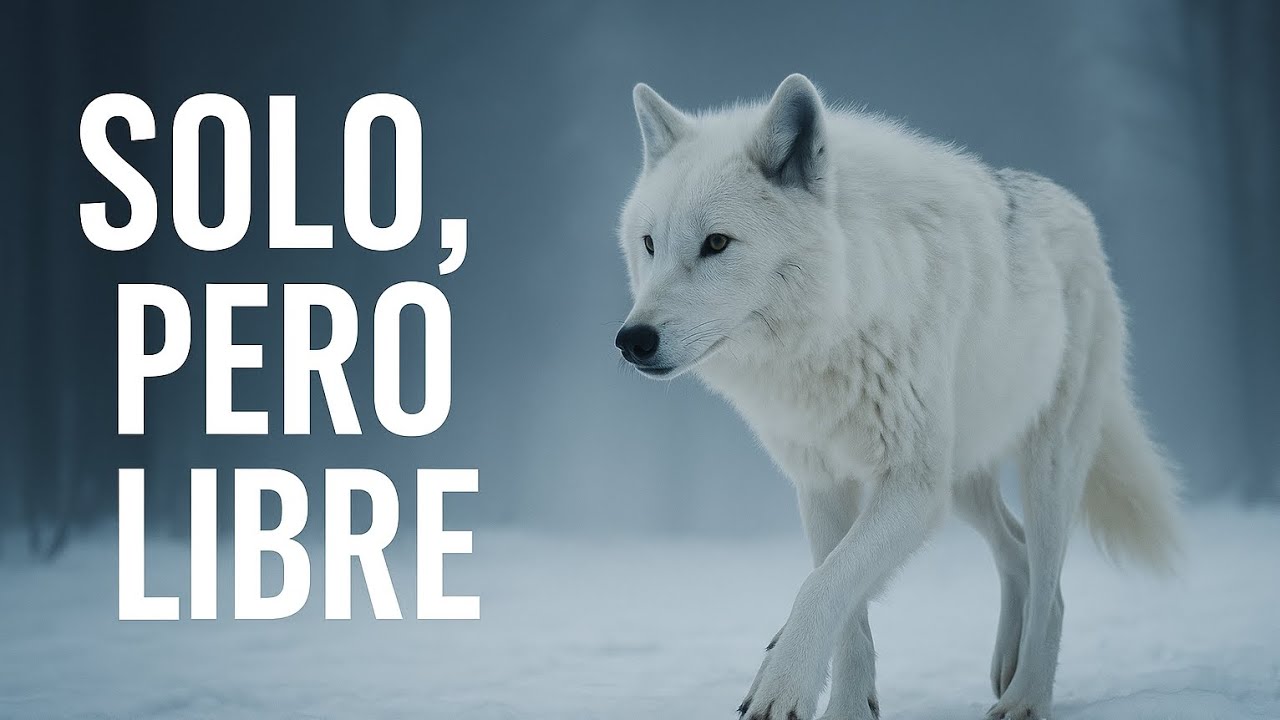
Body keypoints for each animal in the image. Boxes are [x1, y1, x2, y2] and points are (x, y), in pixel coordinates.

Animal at [613, 74, 1182, 720]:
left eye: (716, 243)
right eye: (650, 243)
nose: (631, 340)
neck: (836, 325)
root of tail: (1073, 207)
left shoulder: (910, 486)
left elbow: (824, 584)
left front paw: (781, 684)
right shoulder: (823, 482)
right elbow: (844, 599)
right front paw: (846, 705)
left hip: (1042, 467)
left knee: (1051, 589)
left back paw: (1025, 697)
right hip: (960, 483)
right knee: (1016, 551)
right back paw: (1005, 665)